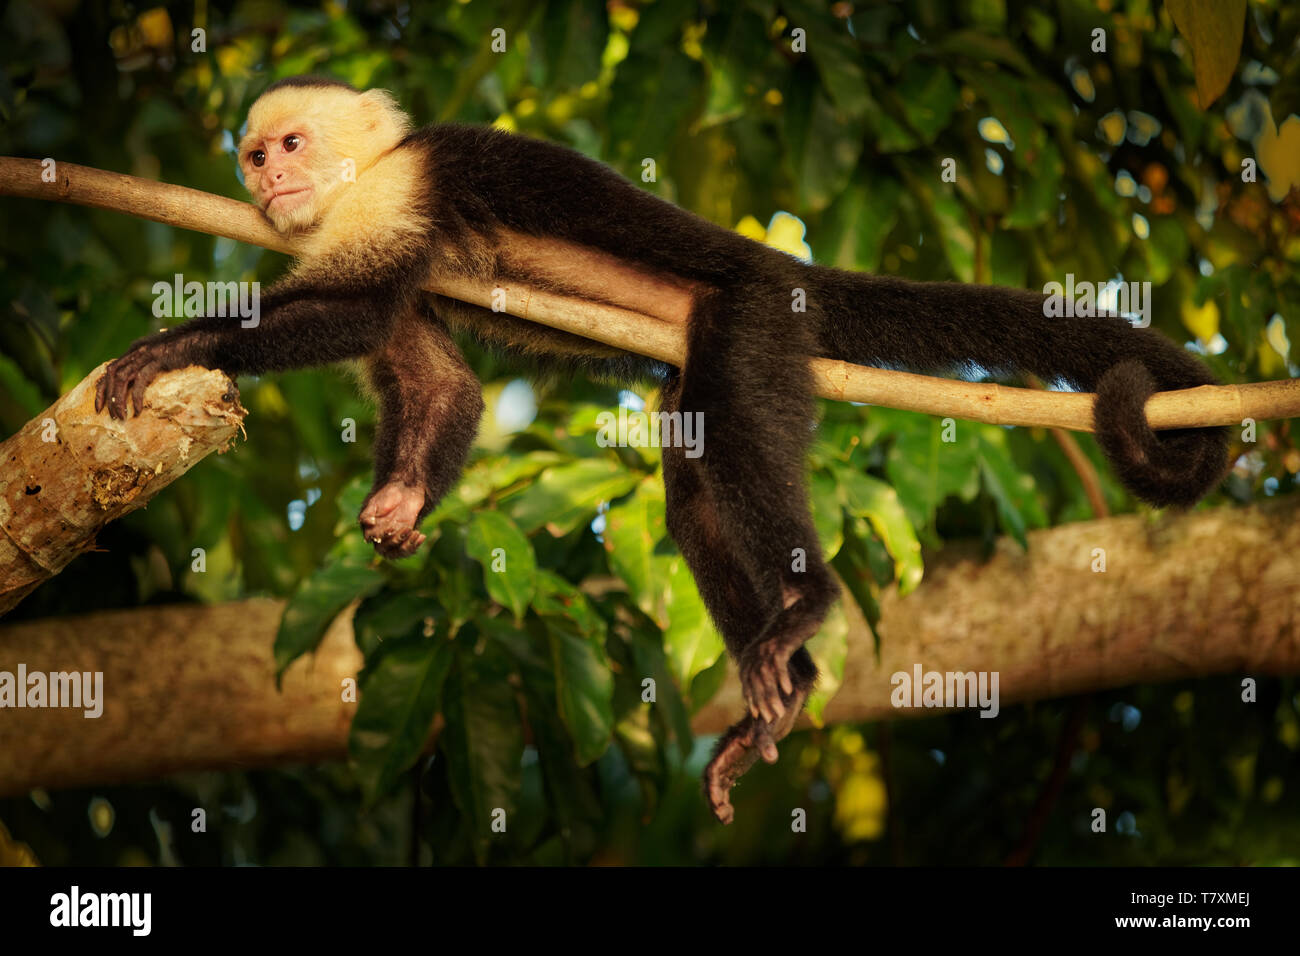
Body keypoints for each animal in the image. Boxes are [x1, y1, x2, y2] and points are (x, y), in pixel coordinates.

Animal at [96, 76, 1222, 822]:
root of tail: (783, 266)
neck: (364, 175)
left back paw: (803, 604)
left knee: (733, 431)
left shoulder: (395, 195)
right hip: (719, 360)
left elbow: (356, 305)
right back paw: (785, 687)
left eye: (290, 142)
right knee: (693, 486)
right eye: (256, 155)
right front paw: (401, 506)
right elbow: (438, 378)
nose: (270, 184)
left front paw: (174, 347)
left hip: (757, 317)